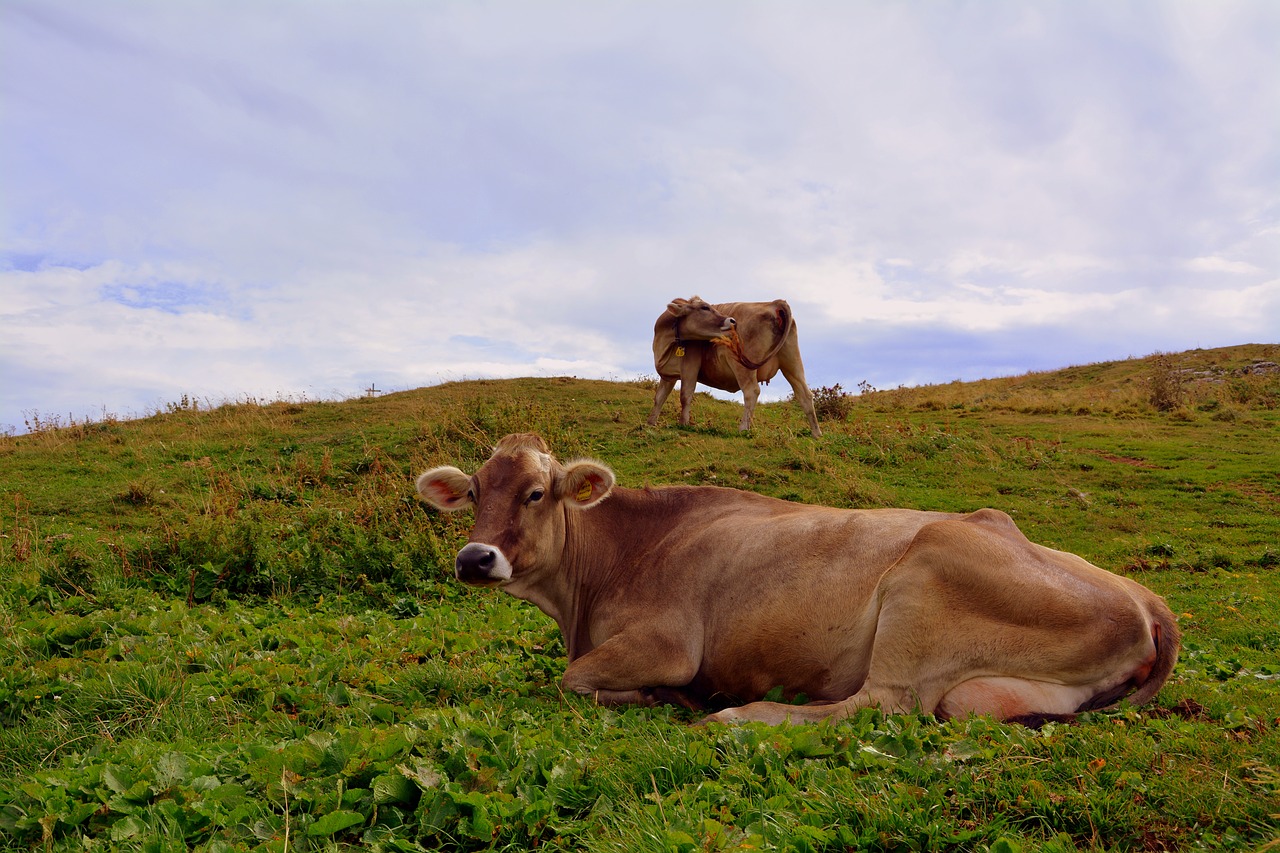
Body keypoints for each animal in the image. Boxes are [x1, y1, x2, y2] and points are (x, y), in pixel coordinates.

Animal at [419, 432, 1177, 722]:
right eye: (475, 491)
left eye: (535, 493)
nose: (474, 558)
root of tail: (1148, 600)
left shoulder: (669, 642)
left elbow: (573, 679)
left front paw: (663, 697)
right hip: (992, 688)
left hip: (923, 578)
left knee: (877, 704)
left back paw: (738, 716)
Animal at [645, 295, 824, 435]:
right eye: (704, 307)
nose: (732, 320)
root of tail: (774, 303)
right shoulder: (668, 375)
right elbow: (659, 397)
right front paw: (650, 423)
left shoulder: (690, 365)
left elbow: (685, 395)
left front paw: (683, 424)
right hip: (792, 361)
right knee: (805, 394)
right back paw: (816, 434)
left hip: (742, 366)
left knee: (751, 391)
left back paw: (743, 428)